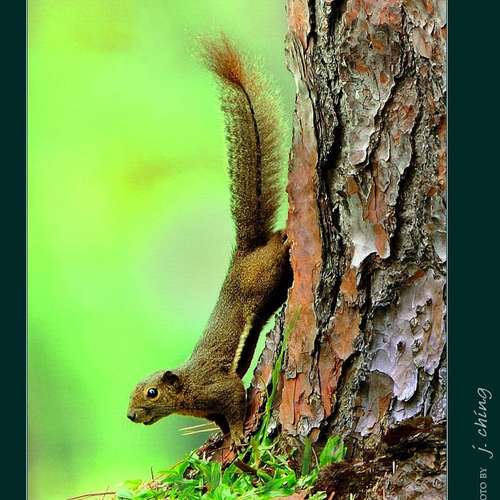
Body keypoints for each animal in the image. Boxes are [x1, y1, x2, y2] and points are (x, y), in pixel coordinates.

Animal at [127, 35, 292, 446]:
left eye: (151, 392)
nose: (130, 415)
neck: (187, 390)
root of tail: (246, 249)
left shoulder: (219, 388)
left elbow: (234, 404)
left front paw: (236, 436)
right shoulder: (209, 407)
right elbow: (219, 420)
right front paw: (224, 438)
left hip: (265, 276)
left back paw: (286, 239)